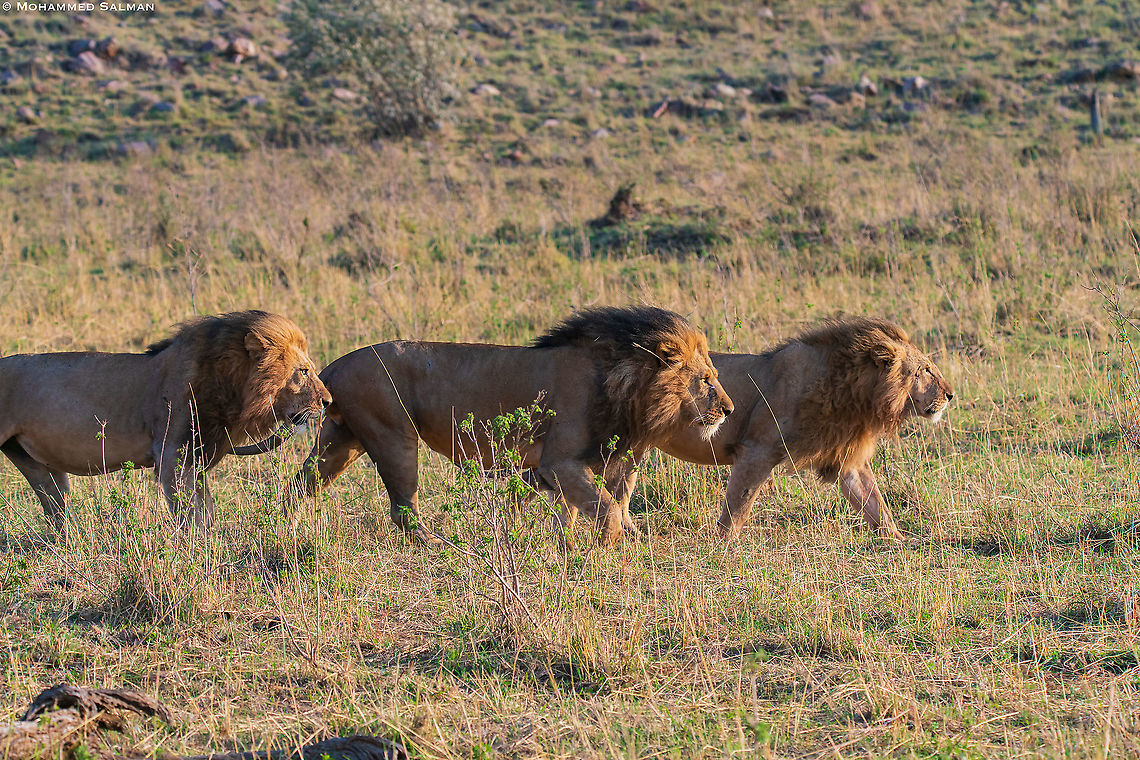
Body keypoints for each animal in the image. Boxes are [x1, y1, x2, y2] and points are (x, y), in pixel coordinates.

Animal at [0, 310, 332, 533]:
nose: (328, 402)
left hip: (34, 462)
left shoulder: (197, 458)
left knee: (54, 504)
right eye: (303, 371)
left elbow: (205, 509)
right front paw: (195, 552)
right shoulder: (171, 454)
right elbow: (189, 515)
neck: (230, 384)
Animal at [237, 306, 734, 545]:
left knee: (298, 486)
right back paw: (440, 545)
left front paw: (569, 546)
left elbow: (579, 511)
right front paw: (604, 550)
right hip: (393, 436)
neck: (628, 386)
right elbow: (608, 511)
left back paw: (281, 530)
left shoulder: (563, 468)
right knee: (402, 509)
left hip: (343, 440)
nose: (729, 409)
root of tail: (331, 368)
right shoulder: (560, 461)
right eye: (706, 379)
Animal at [604, 317, 953, 540]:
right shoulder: (757, 451)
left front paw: (899, 541)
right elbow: (739, 503)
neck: (853, 393)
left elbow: (874, 503)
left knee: (621, 489)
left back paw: (633, 533)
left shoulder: (847, 460)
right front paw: (724, 545)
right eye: (925, 370)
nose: (951, 394)